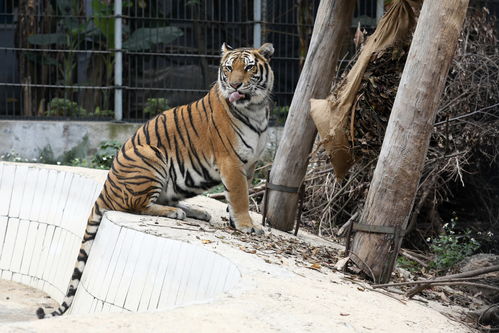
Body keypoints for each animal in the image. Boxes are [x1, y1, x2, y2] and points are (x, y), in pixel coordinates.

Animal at [36, 42, 276, 318]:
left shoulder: (250, 164)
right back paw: (174, 213)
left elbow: (238, 197)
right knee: (137, 205)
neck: (256, 110)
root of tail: (106, 187)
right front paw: (247, 225)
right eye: (228, 68)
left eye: (249, 67)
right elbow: (239, 196)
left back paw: (195, 211)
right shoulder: (231, 162)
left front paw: (235, 221)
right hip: (151, 155)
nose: (235, 85)